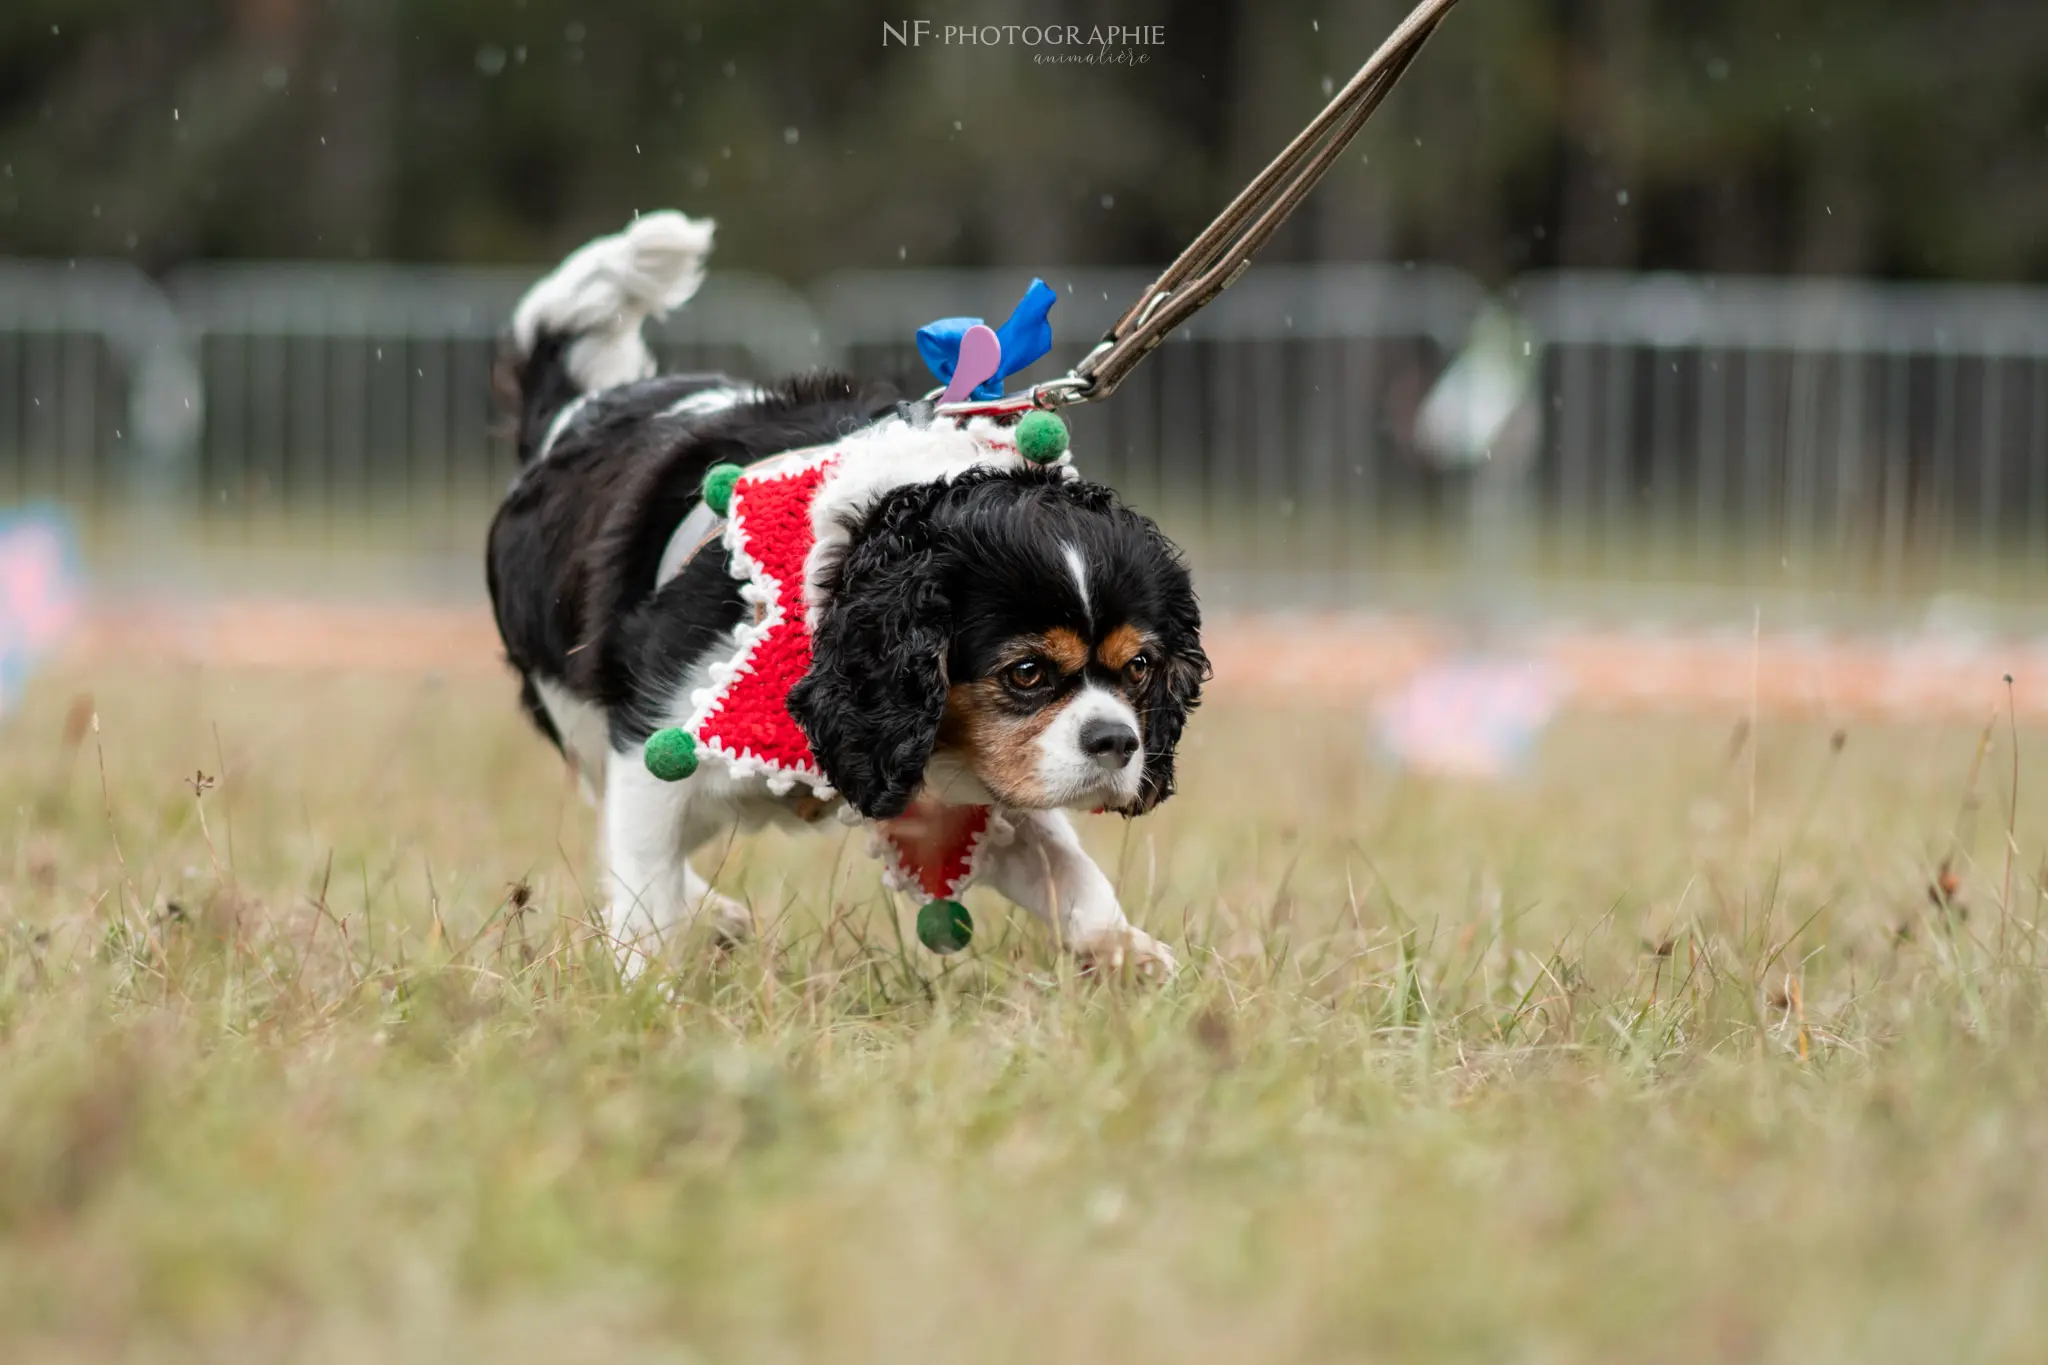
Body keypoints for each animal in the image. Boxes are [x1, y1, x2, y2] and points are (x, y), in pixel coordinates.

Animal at [487, 213, 1204, 978]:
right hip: (579, 715)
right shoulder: (653, 743)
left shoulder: (964, 784)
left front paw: (1128, 951)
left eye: (1139, 667)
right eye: (1027, 672)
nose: (1118, 741)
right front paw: (649, 989)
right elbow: (646, 898)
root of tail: (576, 412)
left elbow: (1062, 865)